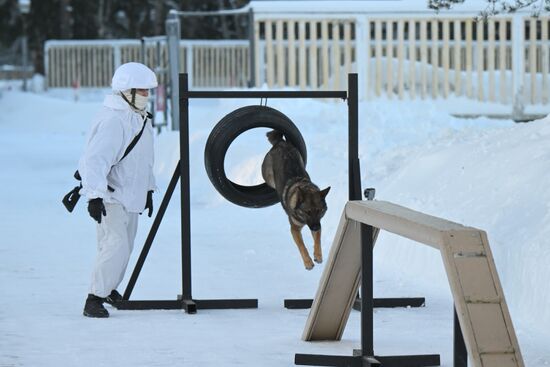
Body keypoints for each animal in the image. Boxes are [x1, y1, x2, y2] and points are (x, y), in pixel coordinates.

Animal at [264, 130, 332, 270]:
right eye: (307, 212)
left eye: (319, 210)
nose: (315, 227)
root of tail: (280, 142)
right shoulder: (294, 229)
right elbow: (301, 245)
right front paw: (308, 262)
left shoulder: (317, 223)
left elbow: (318, 239)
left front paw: (318, 255)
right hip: (268, 176)